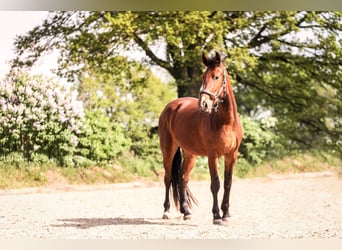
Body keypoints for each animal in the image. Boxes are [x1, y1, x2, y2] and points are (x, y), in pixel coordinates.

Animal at [158, 51, 243, 225]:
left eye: (216, 77)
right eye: (204, 76)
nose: (203, 104)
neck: (226, 122)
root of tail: (170, 107)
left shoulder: (232, 155)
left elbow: (228, 183)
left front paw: (226, 214)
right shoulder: (213, 156)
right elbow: (215, 184)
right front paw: (216, 216)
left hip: (190, 154)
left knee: (183, 179)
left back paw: (186, 212)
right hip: (168, 150)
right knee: (168, 178)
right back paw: (167, 211)